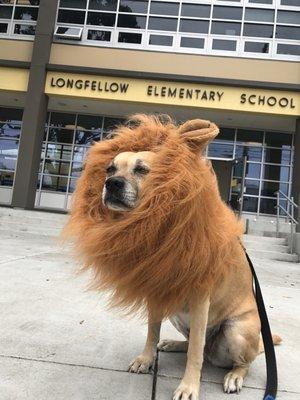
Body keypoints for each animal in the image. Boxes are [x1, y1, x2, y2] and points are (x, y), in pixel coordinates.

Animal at [63, 115, 282, 400]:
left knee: (235, 359)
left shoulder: (200, 301)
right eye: (110, 169)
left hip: (236, 331)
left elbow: (195, 355)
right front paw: (146, 359)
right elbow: (152, 332)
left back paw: (234, 376)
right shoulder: (157, 293)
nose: (111, 183)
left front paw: (188, 387)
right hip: (177, 317)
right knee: (193, 344)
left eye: (142, 170)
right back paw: (173, 343)